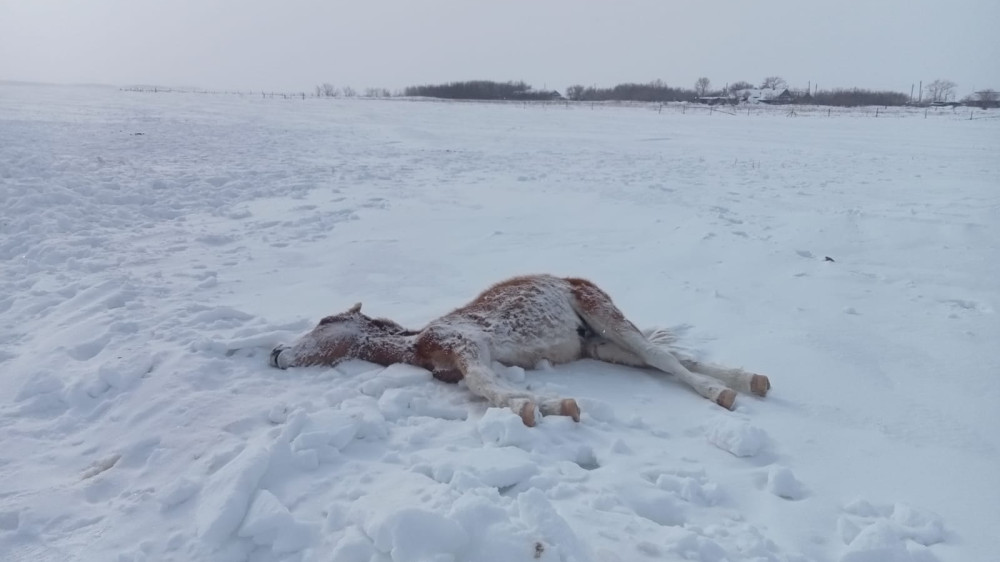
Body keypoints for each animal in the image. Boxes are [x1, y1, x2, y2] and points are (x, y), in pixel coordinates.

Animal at [270, 272, 768, 424]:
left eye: (322, 323)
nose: (275, 354)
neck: (417, 345)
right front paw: (552, 406)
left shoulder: (468, 346)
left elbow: (485, 387)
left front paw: (538, 408)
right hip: (599, 346)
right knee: (659, 358)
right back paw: (751, 380)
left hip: (603, 313)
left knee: (660, 357)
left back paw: (724, 394)